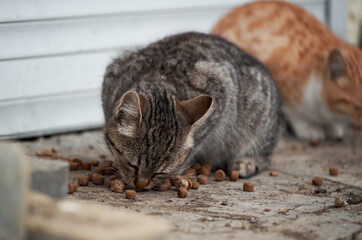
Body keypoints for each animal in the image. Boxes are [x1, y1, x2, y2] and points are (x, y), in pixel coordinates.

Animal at [102, 31, 280, 190]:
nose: (141, 185)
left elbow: (195, 144)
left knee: (265, 154)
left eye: (160, 173)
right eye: (132, 165)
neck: (160, 79)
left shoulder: (221, 92)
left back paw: (246, 163)